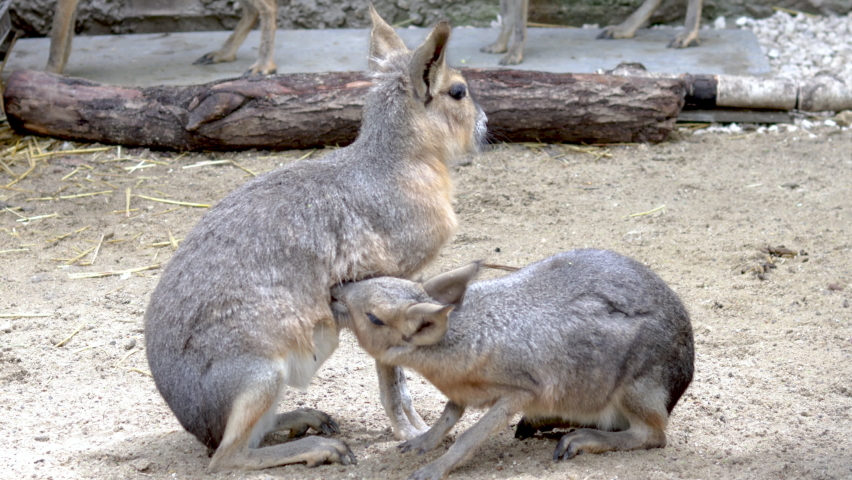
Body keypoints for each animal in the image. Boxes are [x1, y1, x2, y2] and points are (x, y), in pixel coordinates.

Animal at [143, 7, 487, 472]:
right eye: (458, 91)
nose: (485, 125)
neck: (395, 166)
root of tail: (194, 422)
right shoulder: (383, 279)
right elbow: (392, 371)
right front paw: (410, 430)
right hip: (262, 373)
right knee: (228, 457)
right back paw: (321, 446)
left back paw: (306, 419)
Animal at [331, 249, 694, 479]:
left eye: (373, 317)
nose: (335, 290)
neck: (459, 336)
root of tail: (684, 377)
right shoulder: (460, 393)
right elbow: (448, 415)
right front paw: (421, 443)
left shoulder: (519, 391)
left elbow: (470, 435)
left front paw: (432, 470)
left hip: (635, 388)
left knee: (652, 434)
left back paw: (579, 439)